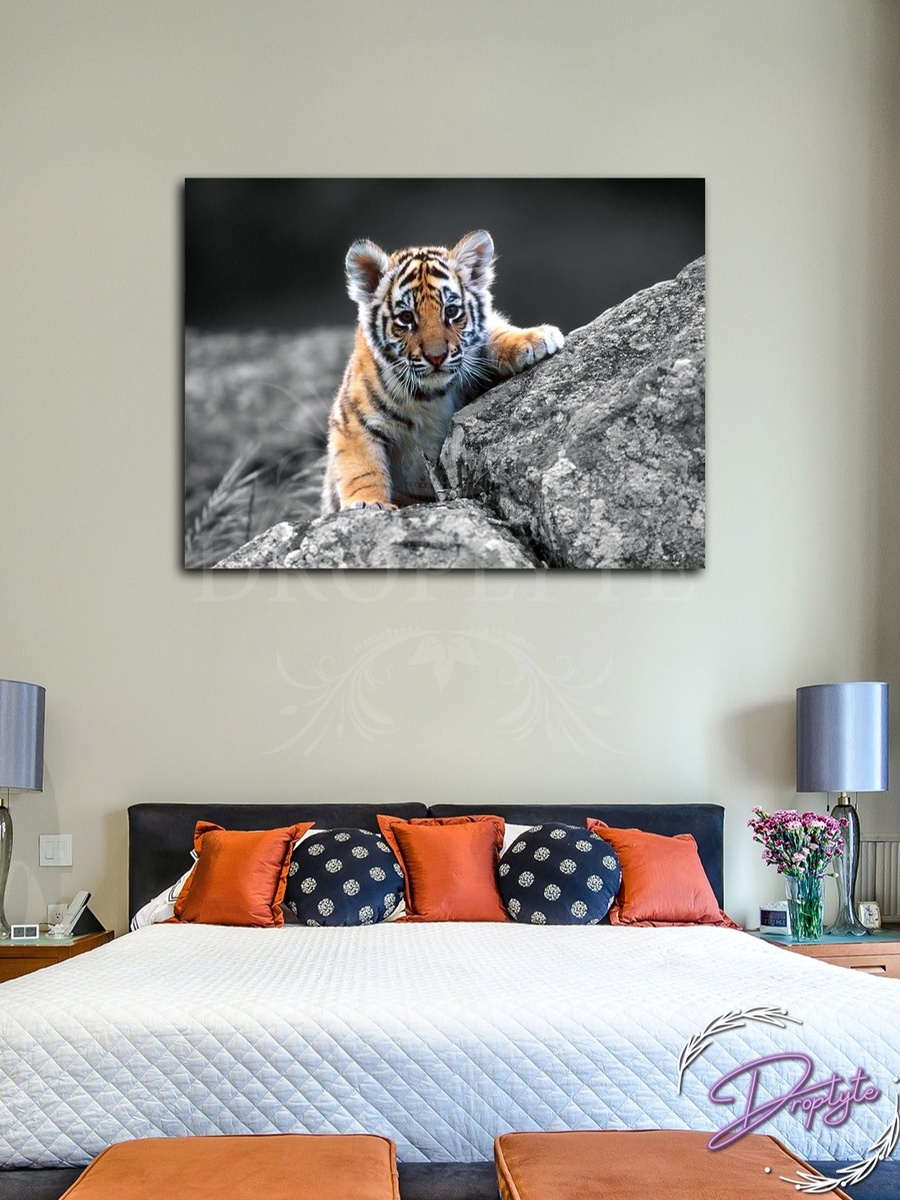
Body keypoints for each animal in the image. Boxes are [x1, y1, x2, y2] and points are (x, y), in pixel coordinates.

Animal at [322, 229, 564, 513]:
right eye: (406, 318)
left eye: (451, 311)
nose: (436, 357)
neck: (430, 396)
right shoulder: (351, 419)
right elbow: (362, 467)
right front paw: (369, 503)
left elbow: (492, 333)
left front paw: (535, 338)